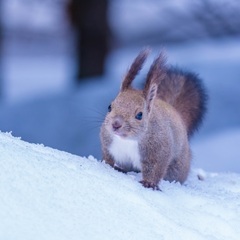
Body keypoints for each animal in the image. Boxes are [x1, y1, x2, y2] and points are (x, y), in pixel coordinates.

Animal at [100, 49, 207, 190]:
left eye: (140, 115)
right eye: (109, 107)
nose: (116, 124)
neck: (128, 140)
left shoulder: (158, 151)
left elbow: (156, 169)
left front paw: (149, 183)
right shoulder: (109, 144)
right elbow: (108, 158)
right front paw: (109, 165)